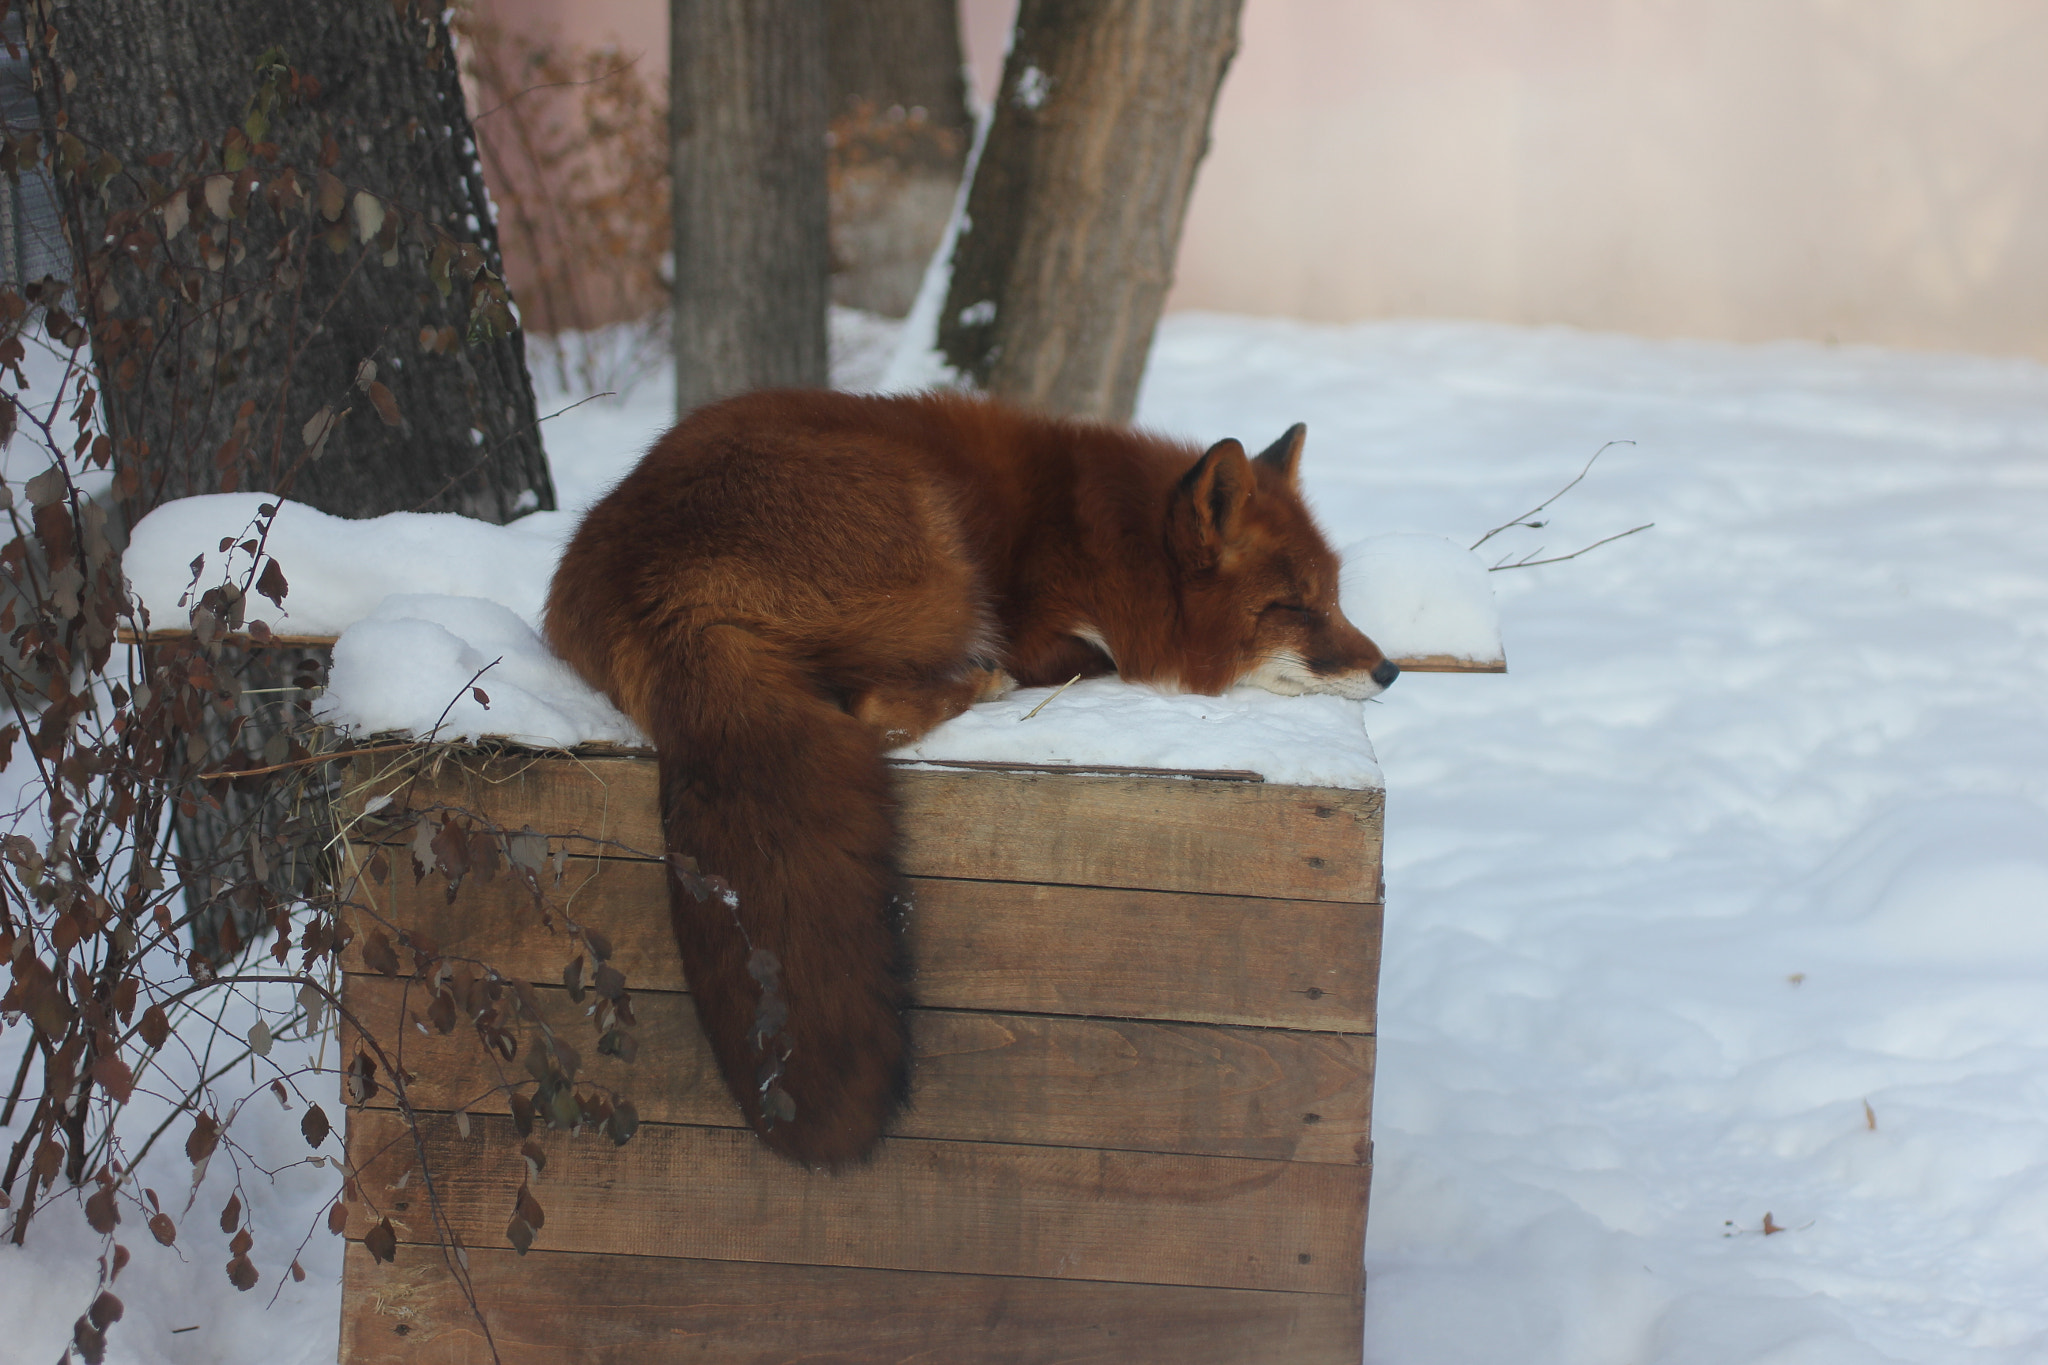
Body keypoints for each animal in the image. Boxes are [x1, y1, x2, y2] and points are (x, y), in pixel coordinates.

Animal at [544, 388, 1392, 1170]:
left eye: (1334, 598)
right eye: (1295, 608)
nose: (1389, 669)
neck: (1106, 536)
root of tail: (659, 590)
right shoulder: (1048, 625)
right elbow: (1085, 653)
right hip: (942, 565)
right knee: (873, 703)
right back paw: (980, 680)